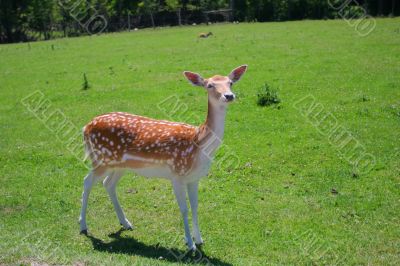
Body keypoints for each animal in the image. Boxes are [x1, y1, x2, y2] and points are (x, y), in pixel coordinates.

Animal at [79, 65, 247, 250]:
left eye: (230, 82)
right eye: (209, 85)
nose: (229, 96)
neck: (198, 144)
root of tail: (85, 127)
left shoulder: (194, 178)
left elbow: (195, 206)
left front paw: (199, 239)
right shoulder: (177, 175)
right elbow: (184, 208)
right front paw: (190, 244)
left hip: (120, 164)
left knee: (108, 184)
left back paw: (126, 223)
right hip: (100, 158)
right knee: (87, 181)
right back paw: (83, 226)